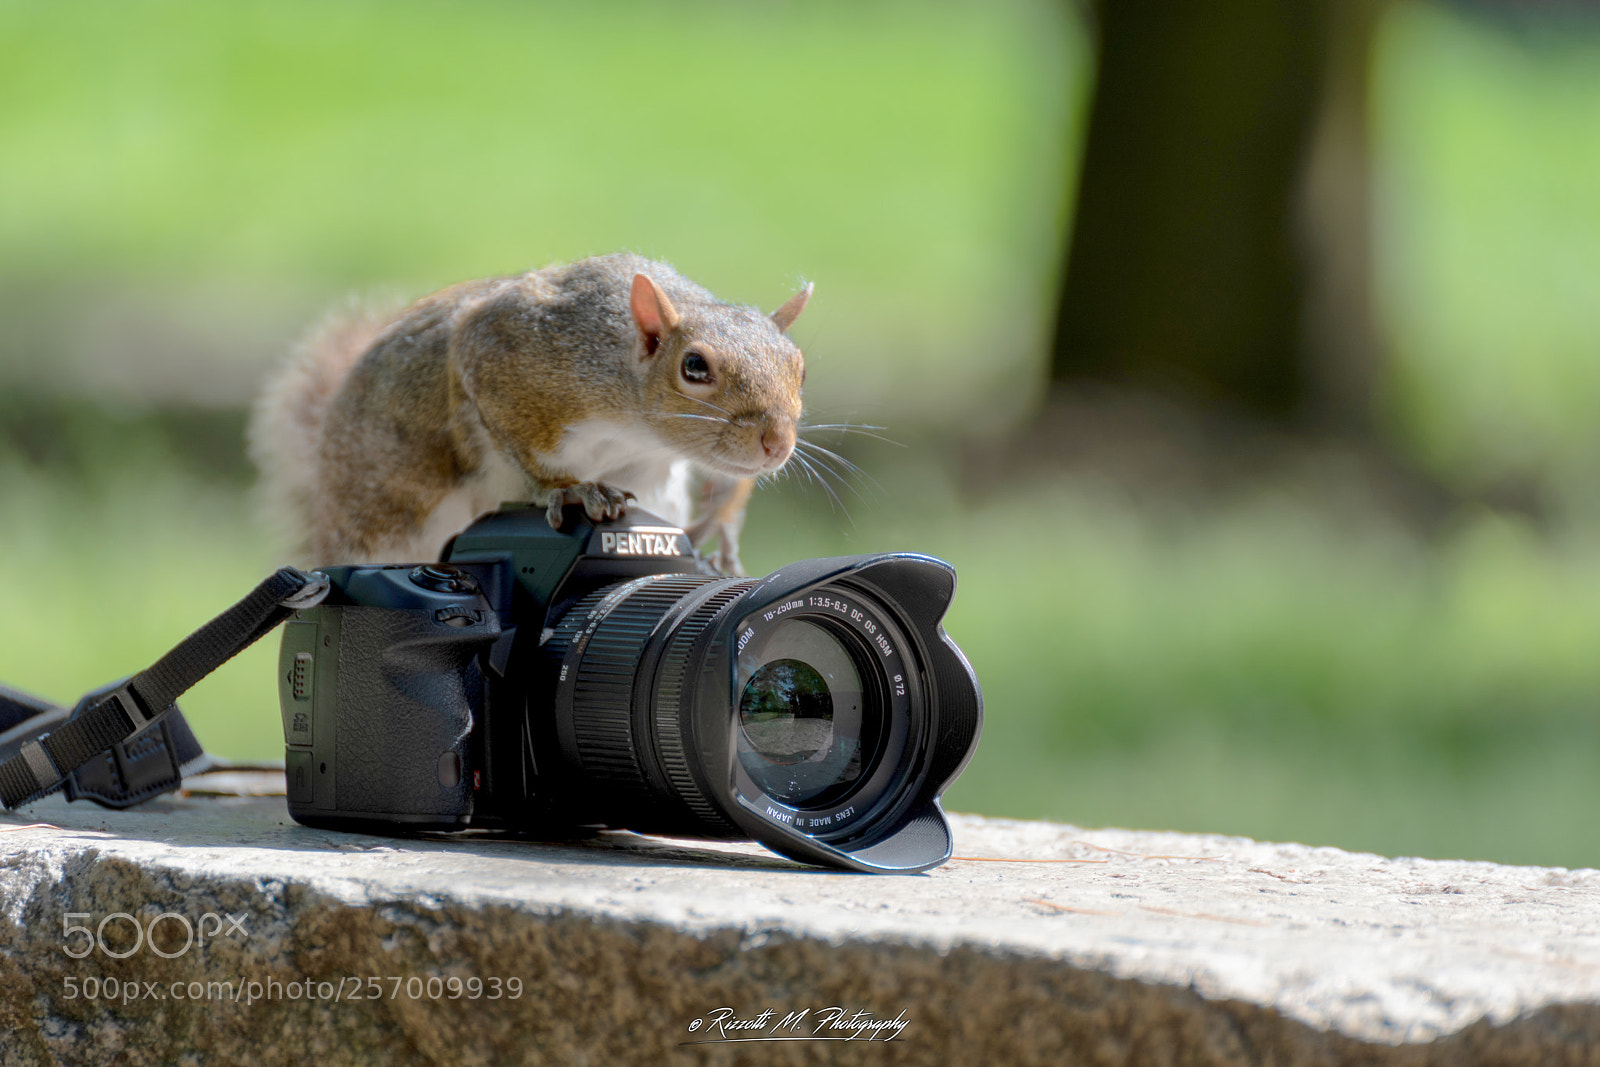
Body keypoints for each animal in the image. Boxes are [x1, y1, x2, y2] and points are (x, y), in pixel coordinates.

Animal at [248, 252, 811, 573]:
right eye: (694, 367)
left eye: (800, 367)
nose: (776, 444)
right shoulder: (512, 363)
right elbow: (523, 446)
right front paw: (570, 489)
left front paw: (725, 539)